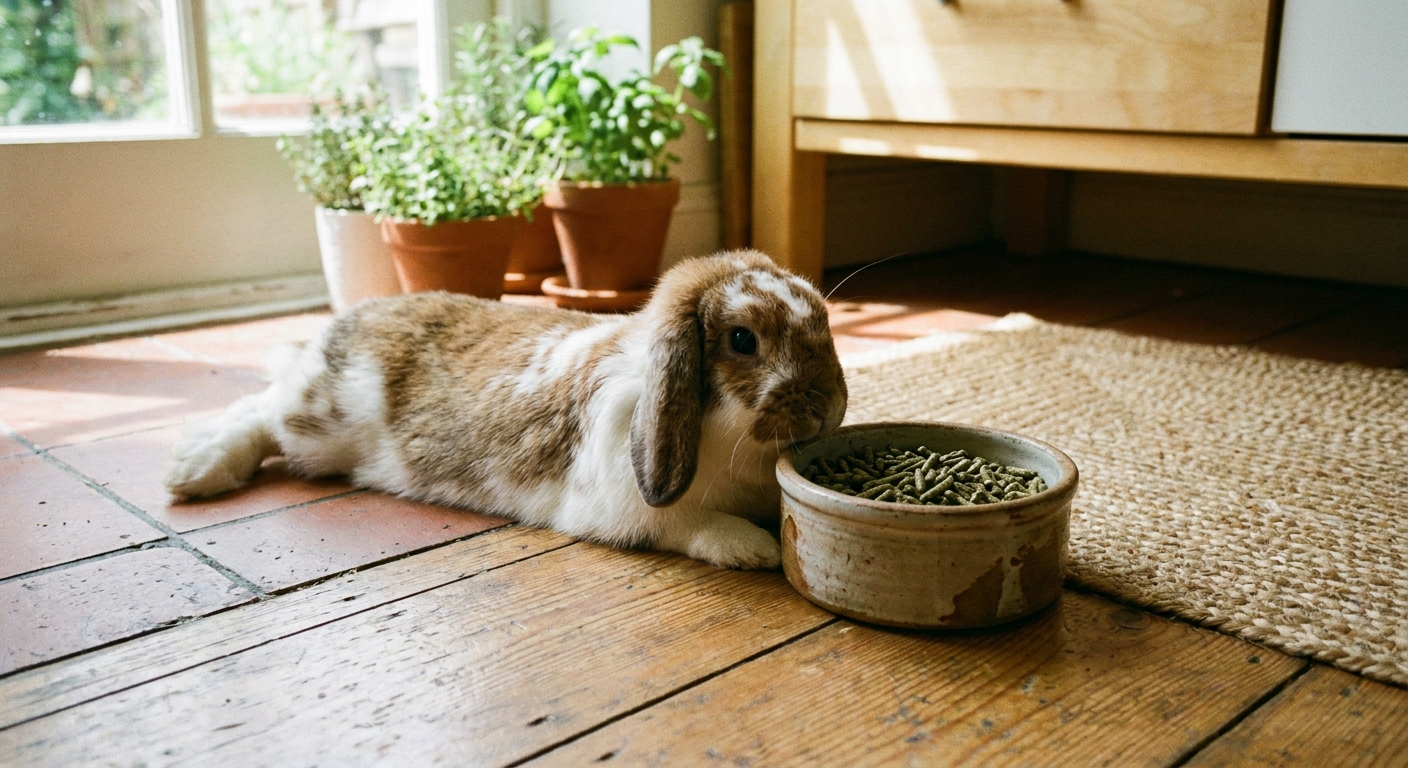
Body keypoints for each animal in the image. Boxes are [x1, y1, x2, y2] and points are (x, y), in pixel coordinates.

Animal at [163, 250, 848, 569]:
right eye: (742, 340)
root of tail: (342, 325)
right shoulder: (628, 511)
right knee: (261, 408)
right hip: (318, 424)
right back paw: (195, 469)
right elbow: (688, 523)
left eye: (823, 318)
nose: (826, 406)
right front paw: (753, 548)